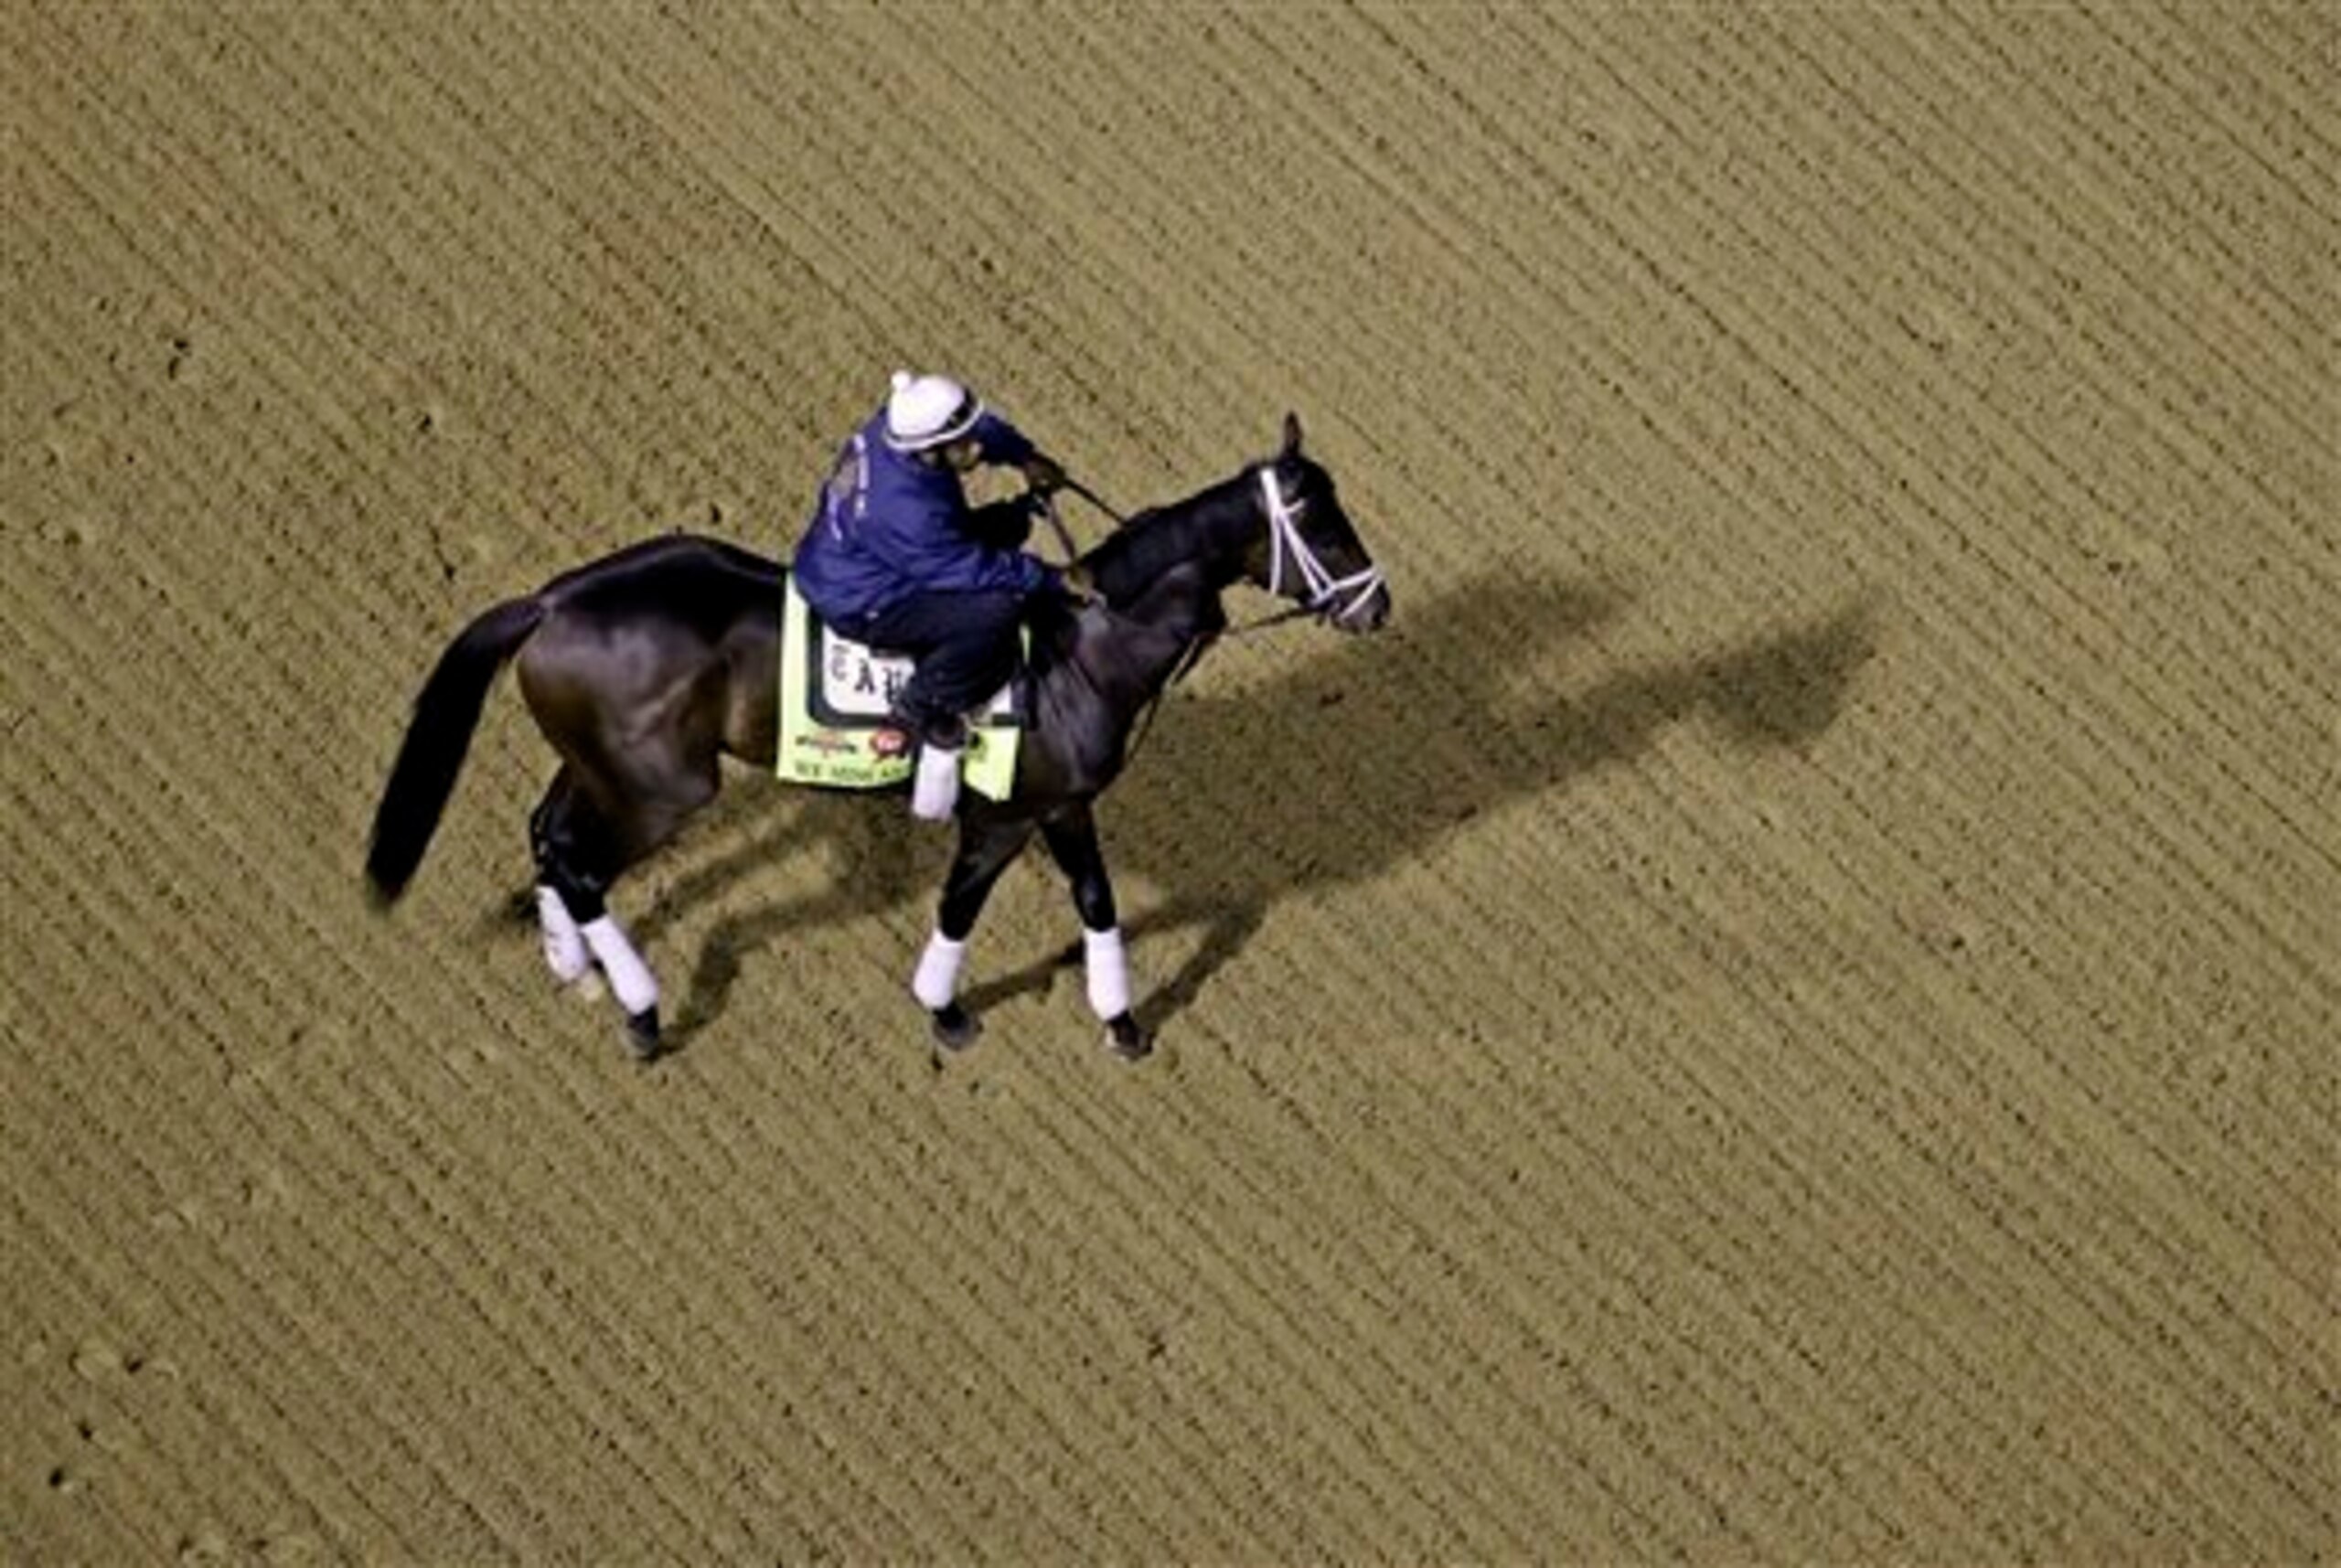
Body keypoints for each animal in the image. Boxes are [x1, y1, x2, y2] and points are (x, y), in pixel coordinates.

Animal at [364, 413, 1391, 1062]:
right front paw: (946, 1010)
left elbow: (1097, 904)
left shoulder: (1063, 806)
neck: (1089, 646)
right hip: (661, 790)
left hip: (600, 766)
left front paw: (1123, 1022)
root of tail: (550, 601)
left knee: (550, 835)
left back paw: (572, 967)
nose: (1375, 604)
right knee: (579, 862)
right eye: (1320, 525)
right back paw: (644, 1012)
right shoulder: (1005, 816)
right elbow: (960, 908)